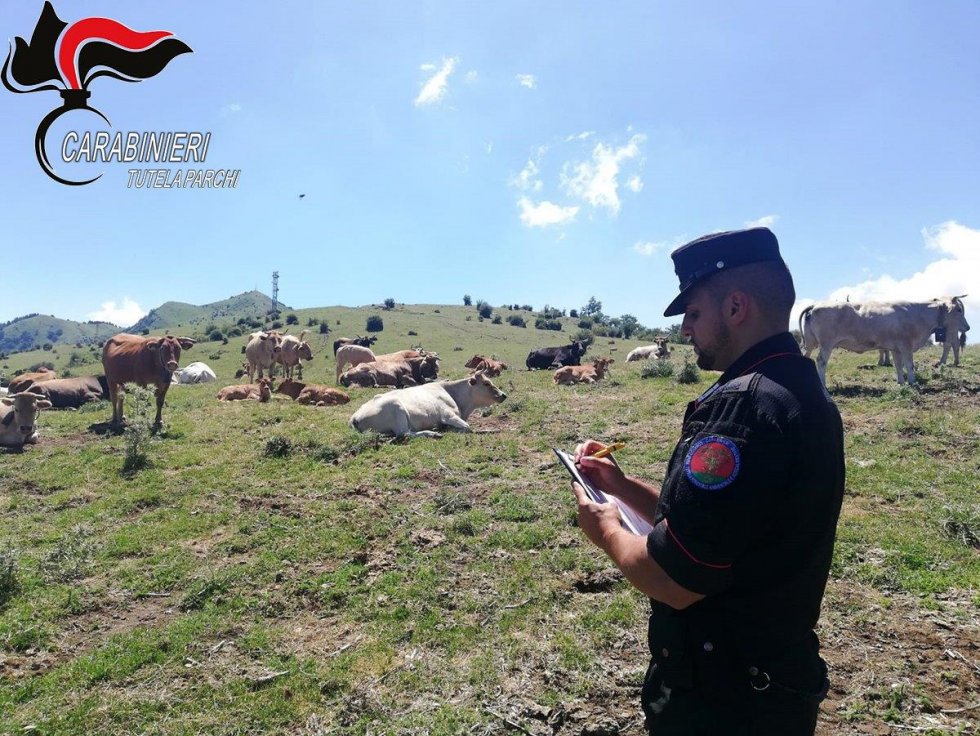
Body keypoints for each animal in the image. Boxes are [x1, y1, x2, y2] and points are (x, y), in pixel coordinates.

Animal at [350, 368, 506, 436]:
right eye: (486, 383)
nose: (503, 395)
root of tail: (354, 416)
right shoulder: (448, 415)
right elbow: (468, 427)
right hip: (396, 407)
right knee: (405, 433)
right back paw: (433, 433)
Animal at [800, 294, 968, 386]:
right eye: (959, 309)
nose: (967, 327)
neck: (918, 314)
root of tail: (815, 305)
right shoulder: (906, 345)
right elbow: (909, 365)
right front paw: (912, 381)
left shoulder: (895, 348)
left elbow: (898, 366)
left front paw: (901, 382)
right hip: (826, 344)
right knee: (821, 362)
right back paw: (823, 385)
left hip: (810, 343)